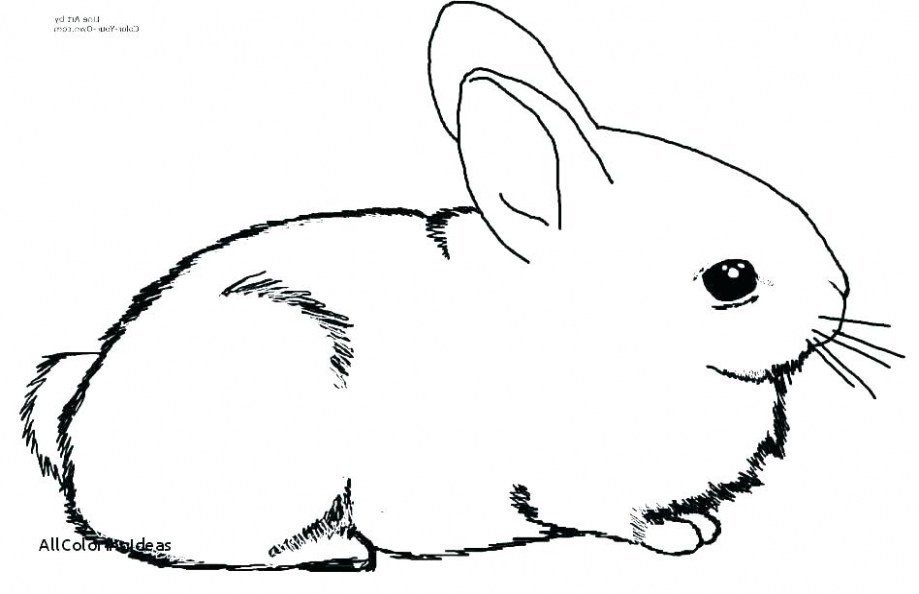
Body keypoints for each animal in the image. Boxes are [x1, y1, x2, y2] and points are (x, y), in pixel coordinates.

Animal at [21, 1, 855, 571]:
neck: (597, 329)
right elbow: (607, 515)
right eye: (730, 279)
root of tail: (77, 428)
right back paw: (340, 553)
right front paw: (679, 535)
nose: (838, 297)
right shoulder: (564, 480)